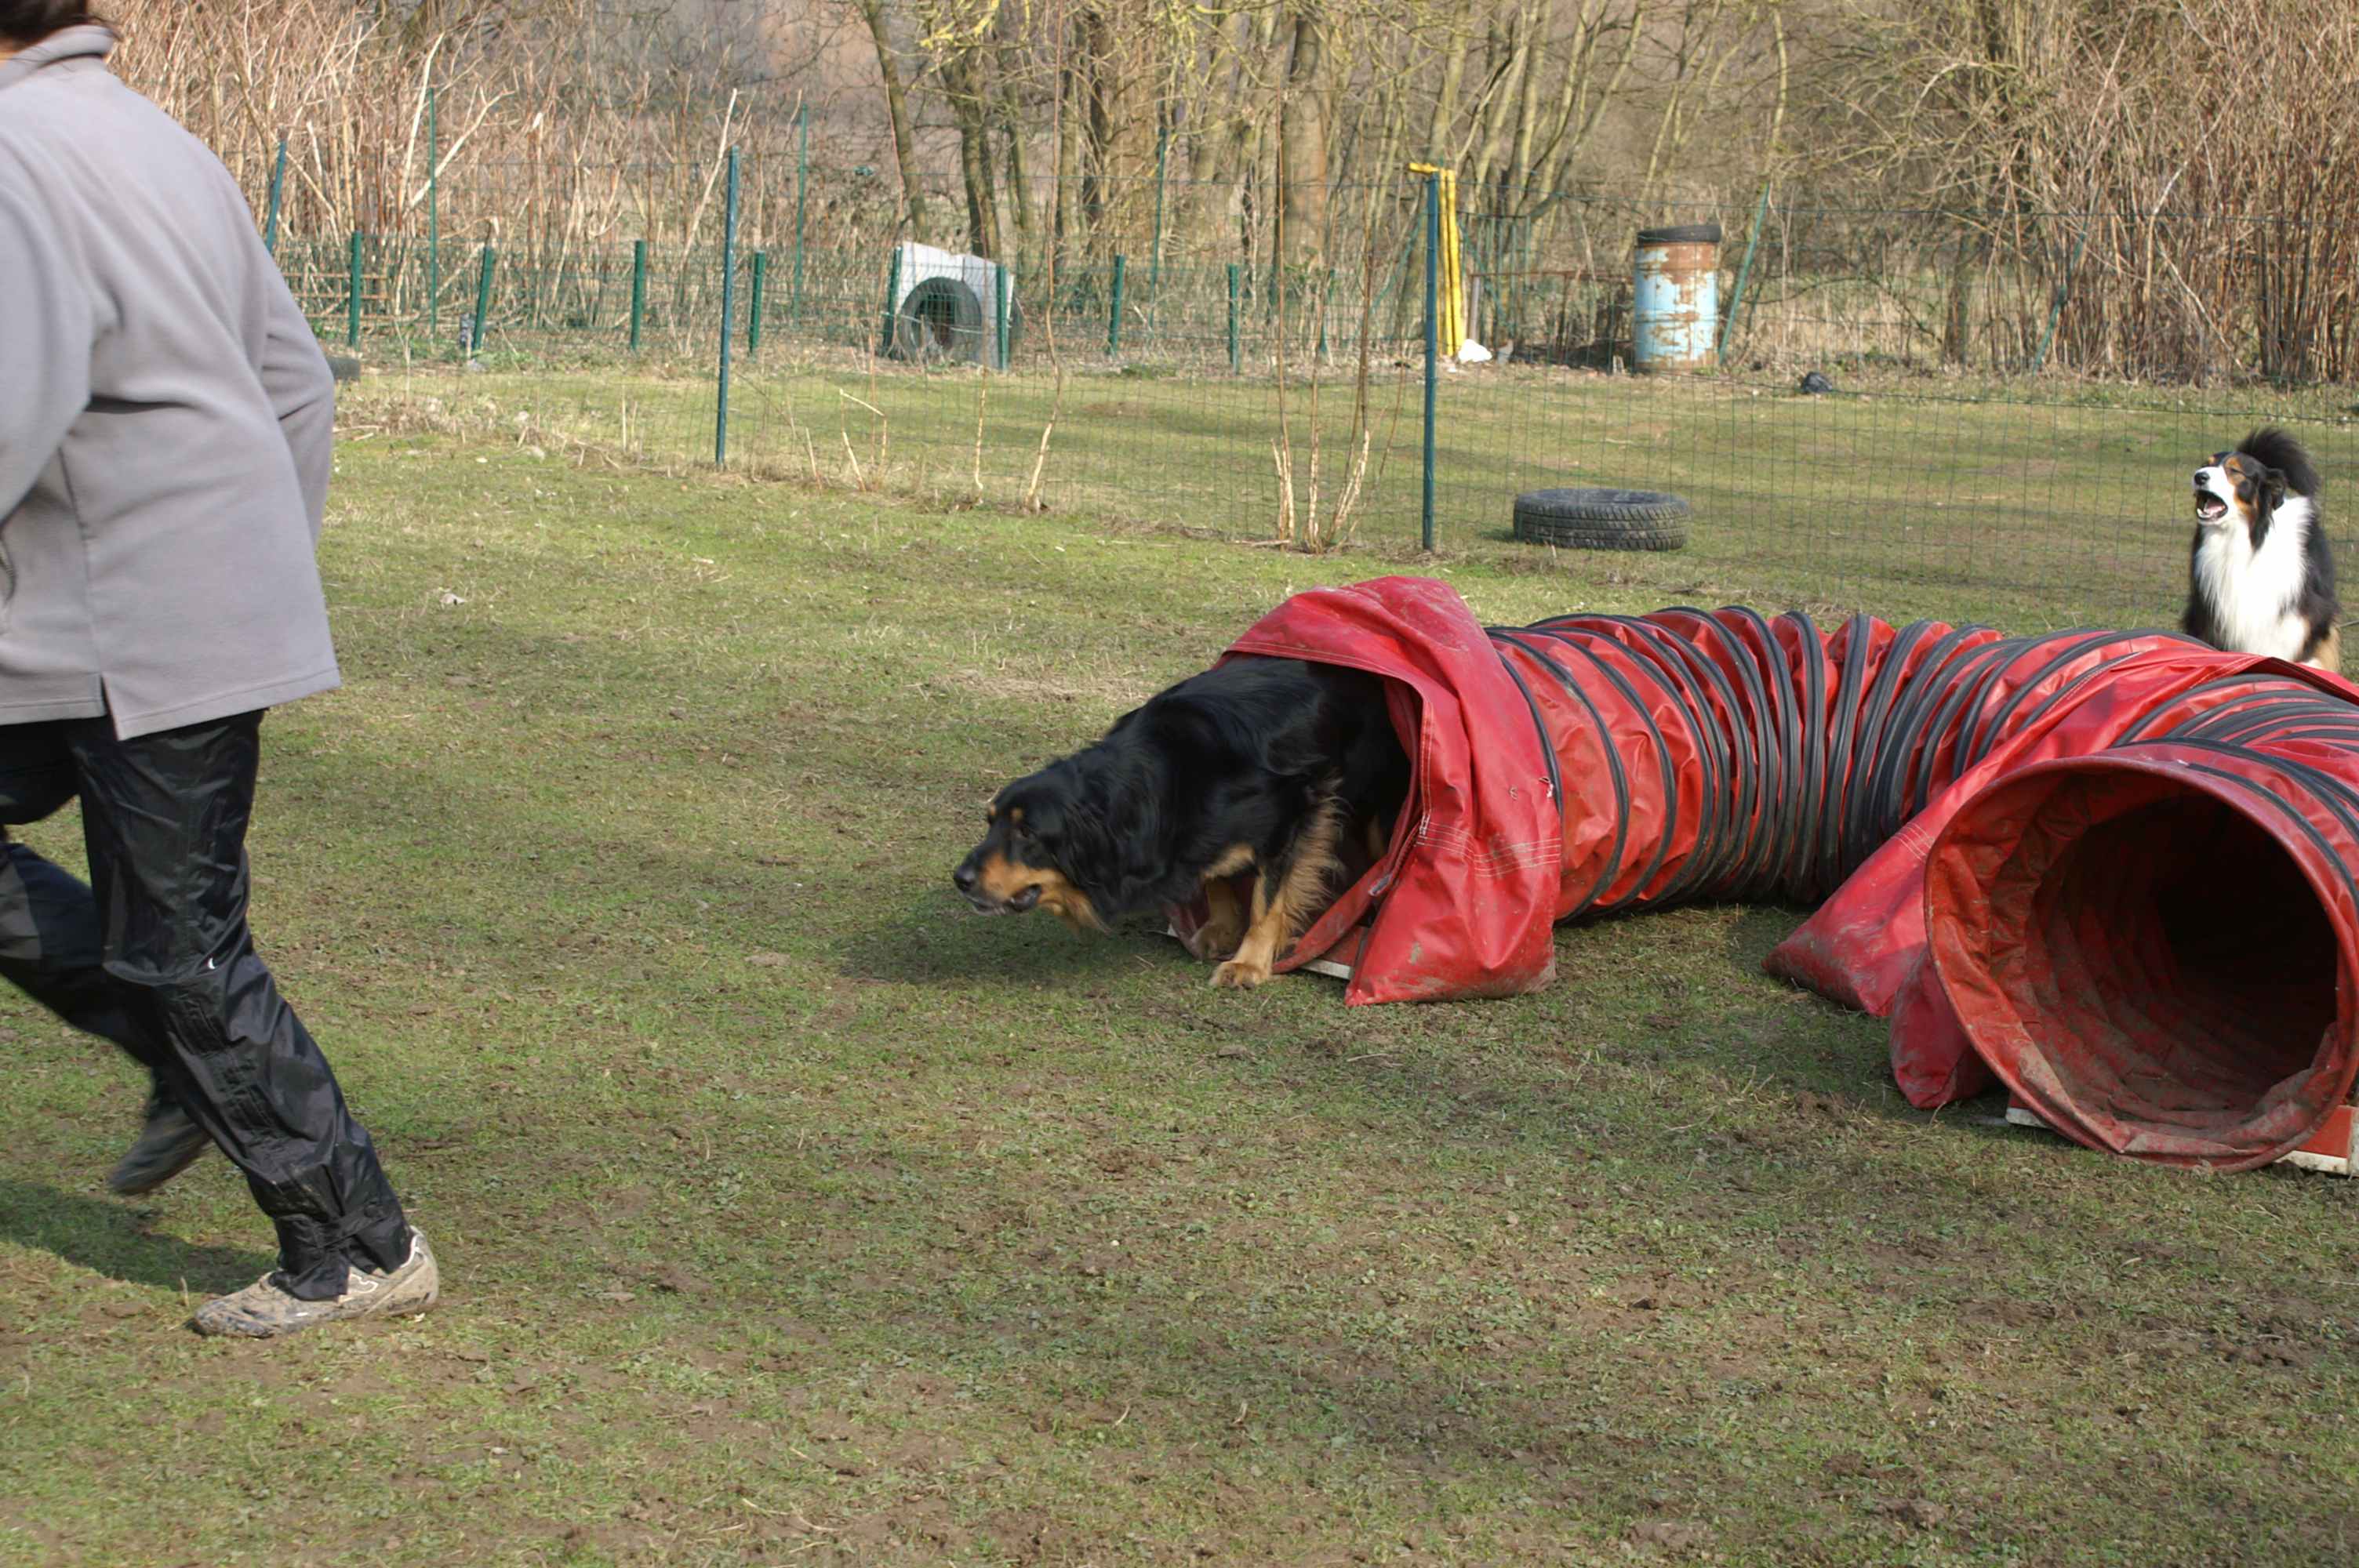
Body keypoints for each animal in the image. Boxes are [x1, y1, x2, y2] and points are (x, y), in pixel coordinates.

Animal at [952, 657, 1409, 989]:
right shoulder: (1197, 832)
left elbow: (1267, 901)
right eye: (989, 822)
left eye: (1027, 832)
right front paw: (1220, 927)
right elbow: (1214, 873)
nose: (960, 879)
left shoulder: (1294, 812)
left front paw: (1249, 964)